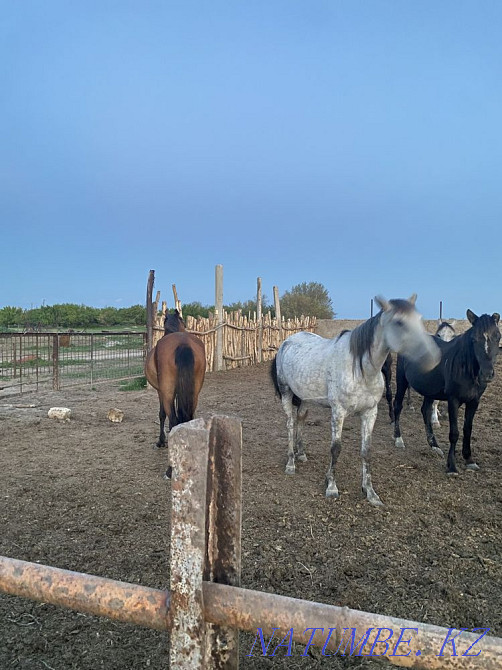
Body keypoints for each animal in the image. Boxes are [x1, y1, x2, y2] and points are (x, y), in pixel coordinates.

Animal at [144, 310, 206, 476]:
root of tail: (183, 343)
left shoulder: (161, 391)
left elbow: (162, 415)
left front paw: (160, 441)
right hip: (194, 392)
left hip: (167, 393)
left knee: (173, 421)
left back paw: (170, 470)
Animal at [270, 295, 440, 506]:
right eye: (399, 322)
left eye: (419, 319)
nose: (433, 358)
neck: (360, 370)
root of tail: (287, 342)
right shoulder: (338, 412)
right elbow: (336, 448)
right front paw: (331, 486)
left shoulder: (370, 413)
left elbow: (366, 451)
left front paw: (370, 492)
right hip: (286, 393)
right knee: (290, 424)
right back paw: (291, 463)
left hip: (304, 397)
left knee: (300, 419)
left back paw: (301, 454)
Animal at [393, 310, 500, 475]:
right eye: (474, 339)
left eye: (498, 336)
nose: (487, 374)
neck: (465, 367)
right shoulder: (453, 400)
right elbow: (454, 433)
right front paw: (452, 467)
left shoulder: (474, 401)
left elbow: (468, 429)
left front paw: (469, 460)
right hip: (401, 380)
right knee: (398, 405)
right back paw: (398, 439)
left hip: (428, 388)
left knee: (425, 410)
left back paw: (434, 445)